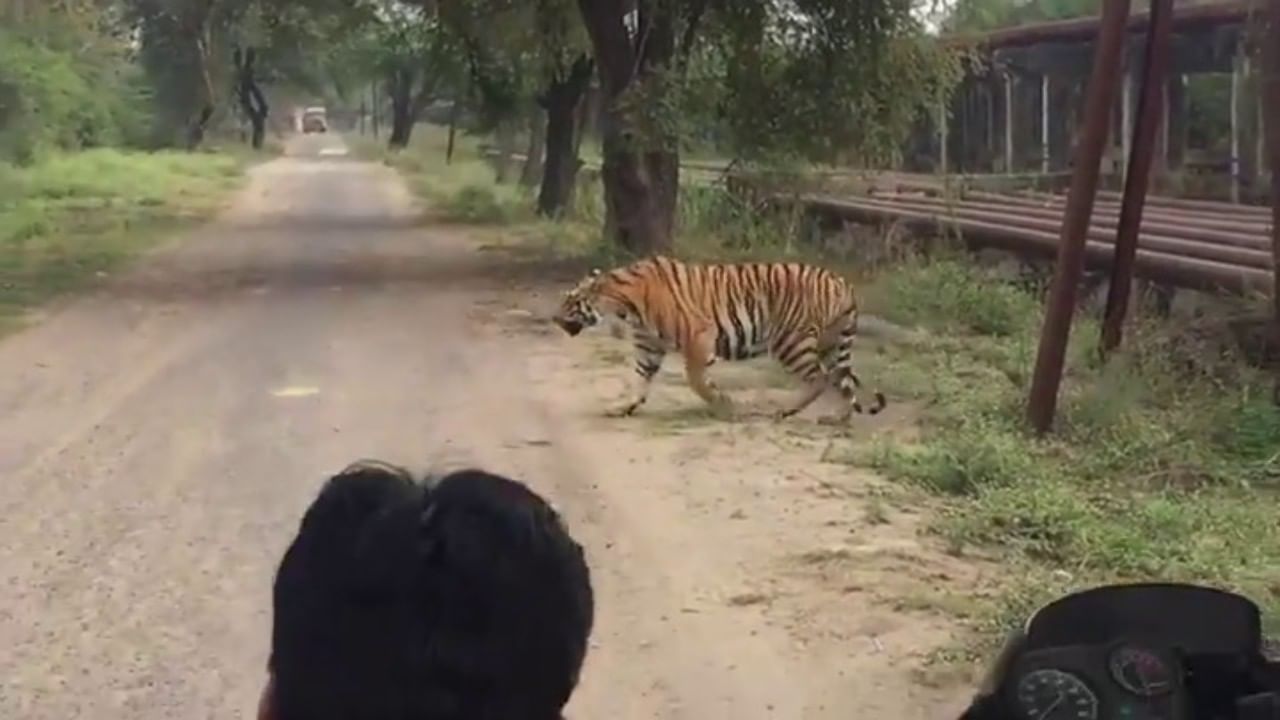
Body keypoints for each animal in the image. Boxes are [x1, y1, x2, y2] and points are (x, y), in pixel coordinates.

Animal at [550, 254, 890, 420]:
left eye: (570, 301)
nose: (553, 318)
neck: (623, 303)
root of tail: (844, 283)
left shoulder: (699, 336)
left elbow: (696, 379)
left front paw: (725, 405)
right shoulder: (649, 346)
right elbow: (640, 378)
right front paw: (622, 407)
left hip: (790, 341)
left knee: (819, 379)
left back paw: (784, 411)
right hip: (831, 345)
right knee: (844, 381)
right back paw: (838, 418)